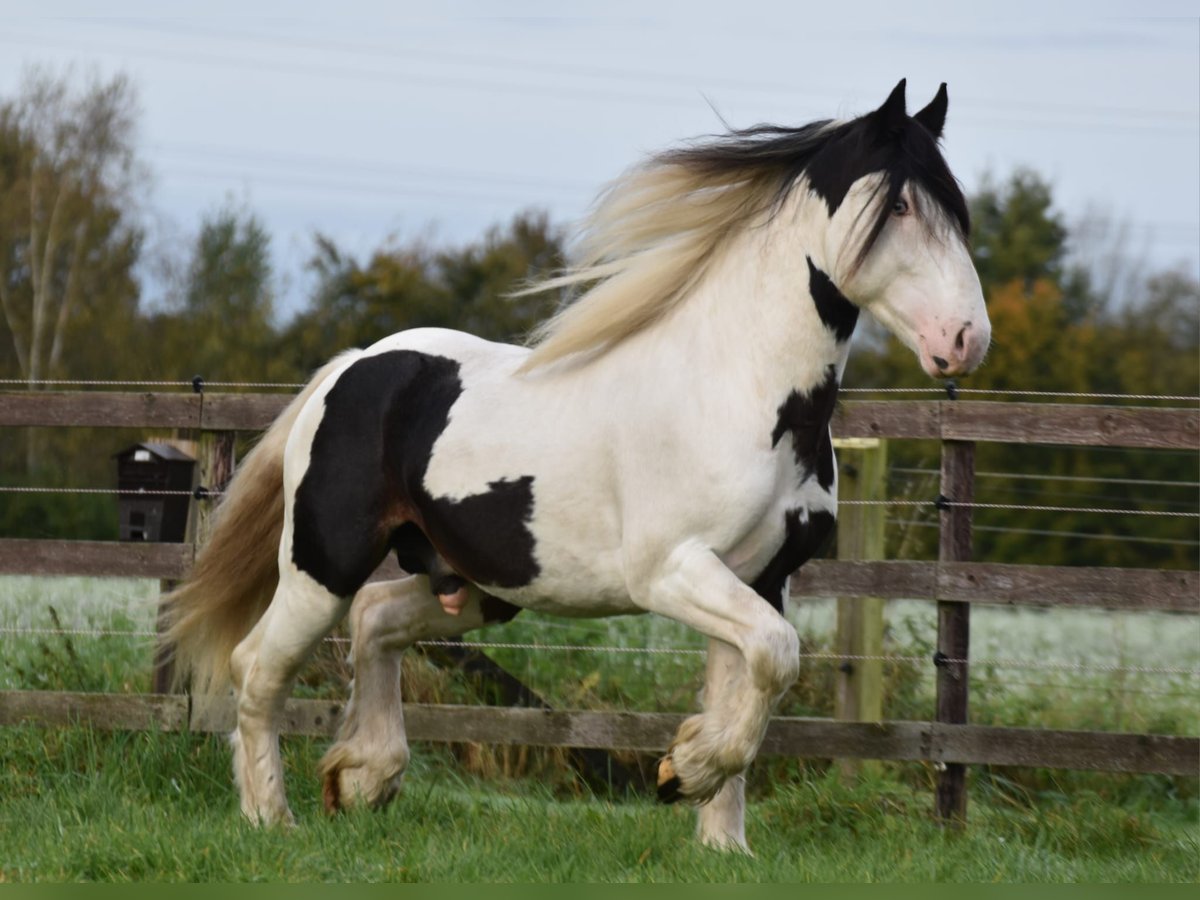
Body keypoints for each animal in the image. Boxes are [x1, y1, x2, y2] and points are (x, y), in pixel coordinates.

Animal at [164, 77, 988, 854]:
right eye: (900, 205)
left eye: (957, 211)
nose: (965, 340)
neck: (738, 388)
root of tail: (354, 367)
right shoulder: (673, 570)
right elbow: (776, 659)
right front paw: (684, 771)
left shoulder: (760, 580)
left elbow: (754, 675)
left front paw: (720, 837)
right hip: (322, 567)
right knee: (256, 668)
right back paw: (272, 819)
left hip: (480, 584)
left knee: (374, 621)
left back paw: (363, 776)